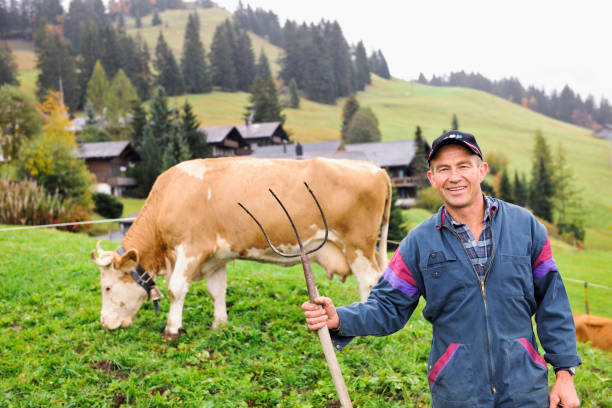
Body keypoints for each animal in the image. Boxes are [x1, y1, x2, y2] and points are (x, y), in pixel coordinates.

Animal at [89, 158, 392, 340]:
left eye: (107, 287)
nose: (104, 323)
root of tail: (377, 169)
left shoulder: (191, 249)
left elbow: (176, 290)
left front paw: (172, 329)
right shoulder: (216, 256)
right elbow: (217, 290)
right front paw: (219, 324)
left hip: (358, 245)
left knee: (368, 279)